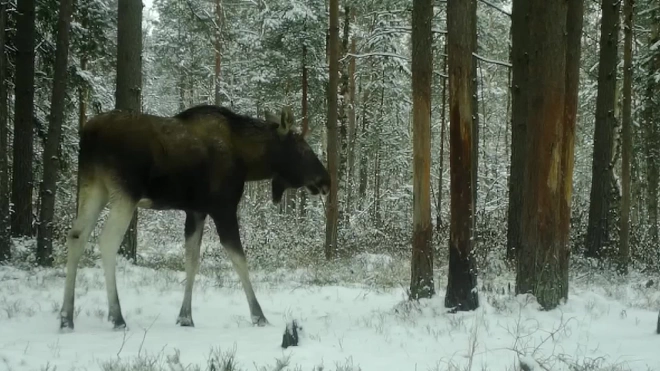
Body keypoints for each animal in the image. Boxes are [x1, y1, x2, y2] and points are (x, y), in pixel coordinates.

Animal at [59, 104, 330, 332]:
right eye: (304, 148)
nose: (325, 180)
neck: (249, 161)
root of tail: (88, 134)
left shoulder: (196, 211)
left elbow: (191, 259)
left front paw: (185, 316)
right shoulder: (223, 208)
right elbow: (239, 259)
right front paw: (258, 315)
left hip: (94, 187)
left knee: (76, 236)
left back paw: (66, 317)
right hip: (125, 194)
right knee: (106, 242)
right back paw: (116, 316)